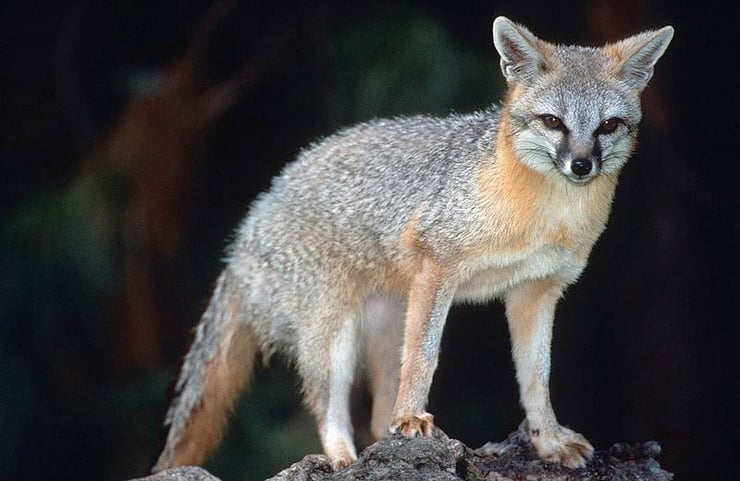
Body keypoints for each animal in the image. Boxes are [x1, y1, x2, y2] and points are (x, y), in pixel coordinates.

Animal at [153, 16, 673, 472]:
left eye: (608, 126)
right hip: (333, 335)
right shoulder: (436, 265)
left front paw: (547, 441)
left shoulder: (536, 291)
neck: (545, 217)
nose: (581, 166)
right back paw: (344, 459)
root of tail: (248, 227)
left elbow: (537, 378)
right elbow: (424, 357)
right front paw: (412, 418)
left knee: (376, 411)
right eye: (553, 122)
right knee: (328, 406)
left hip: (385, 326)